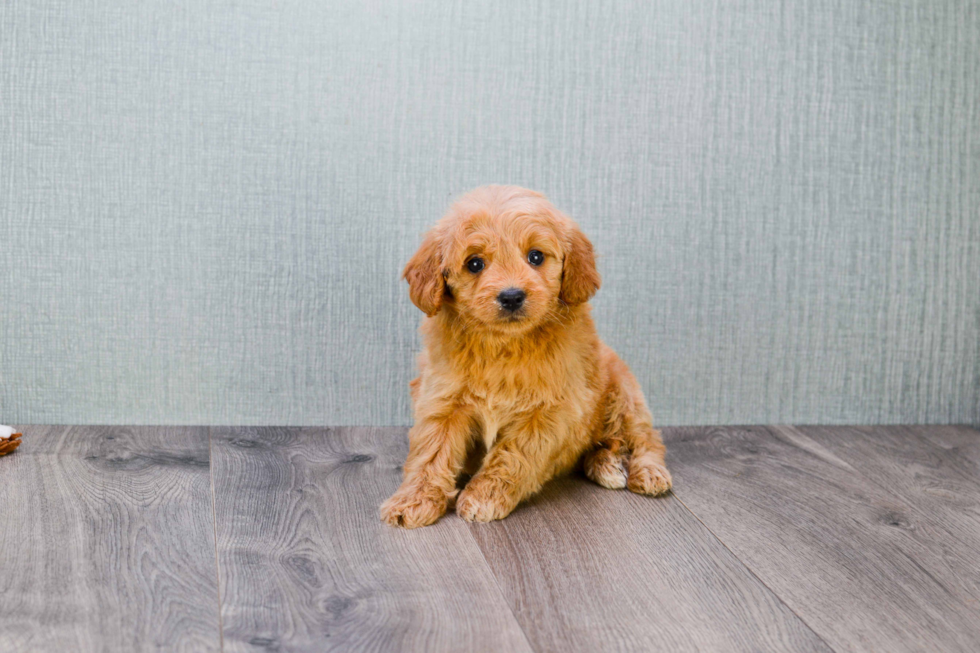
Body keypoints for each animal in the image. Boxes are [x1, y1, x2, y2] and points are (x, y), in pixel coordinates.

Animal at [378, 186, 668, 528]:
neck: (503, 345)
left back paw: (644, 471)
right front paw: (413, 499)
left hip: (623, 393)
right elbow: (431, 451)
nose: (512, 296)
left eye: (536, 257)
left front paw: (484, 496)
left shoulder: (547, 412)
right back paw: (604, 464)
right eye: (474, 264)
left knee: (644, 437)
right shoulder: (442, 399)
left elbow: (512, 454)